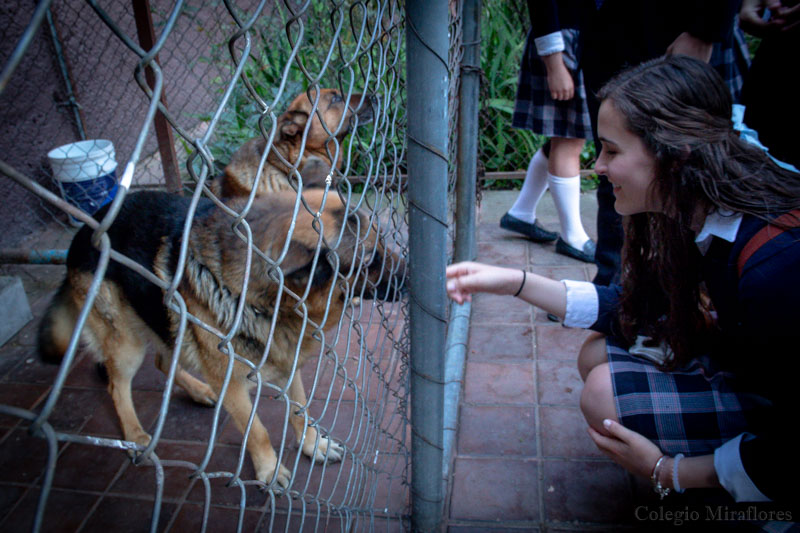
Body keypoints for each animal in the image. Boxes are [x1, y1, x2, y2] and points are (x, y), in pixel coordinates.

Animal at [37, 189, 404, 488]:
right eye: (370, 260)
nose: (410, 278)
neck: (263, 301)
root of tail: (84, 231)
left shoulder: (287, 365)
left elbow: (300, 410)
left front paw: (314, 445)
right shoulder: (235, 385)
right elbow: (257, 432)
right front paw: (269, 470)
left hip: (168, 322)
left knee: (163, 359)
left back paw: (200, 391)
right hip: (128, 344)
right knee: (117, 385)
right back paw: (136, 434)